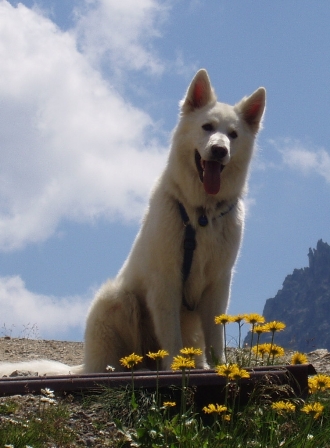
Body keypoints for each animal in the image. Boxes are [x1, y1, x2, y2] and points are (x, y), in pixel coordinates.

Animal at [0, 70, 266, 376]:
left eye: (233, 135)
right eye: (207, 127)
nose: (220, 150)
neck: (200, 213)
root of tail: (86, 364)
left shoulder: (218, 283)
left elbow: (216, 335)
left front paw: (221, 367)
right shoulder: (166, 282)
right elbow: (172, 337)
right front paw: (176, 367)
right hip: (118, 298)